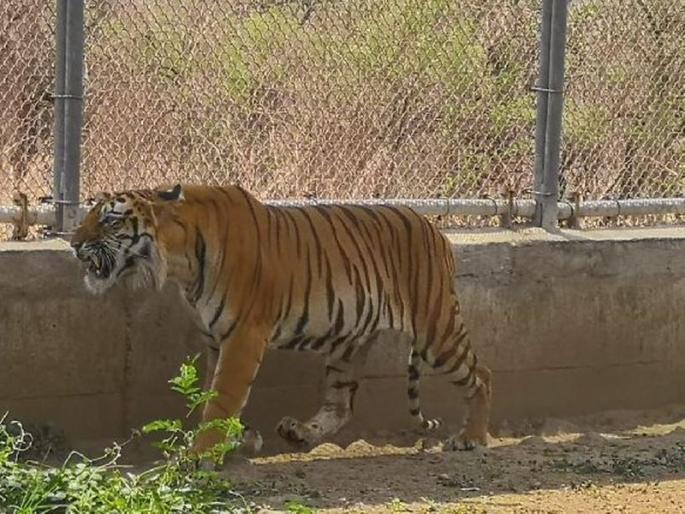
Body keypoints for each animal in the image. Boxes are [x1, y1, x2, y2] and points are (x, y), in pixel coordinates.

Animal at [70, 183, 492, 454]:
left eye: (109, 220)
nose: (73, 244)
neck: (178, 261)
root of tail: (436, 230)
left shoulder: (242, 335)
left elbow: (222, 397)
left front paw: (200, 454)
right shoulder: (214, 339)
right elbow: (213, 392)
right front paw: (238, 437)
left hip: (435, 329)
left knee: (481, 375)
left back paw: (471, 437)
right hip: (348, 342)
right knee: (341, 404)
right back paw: (300, 432)